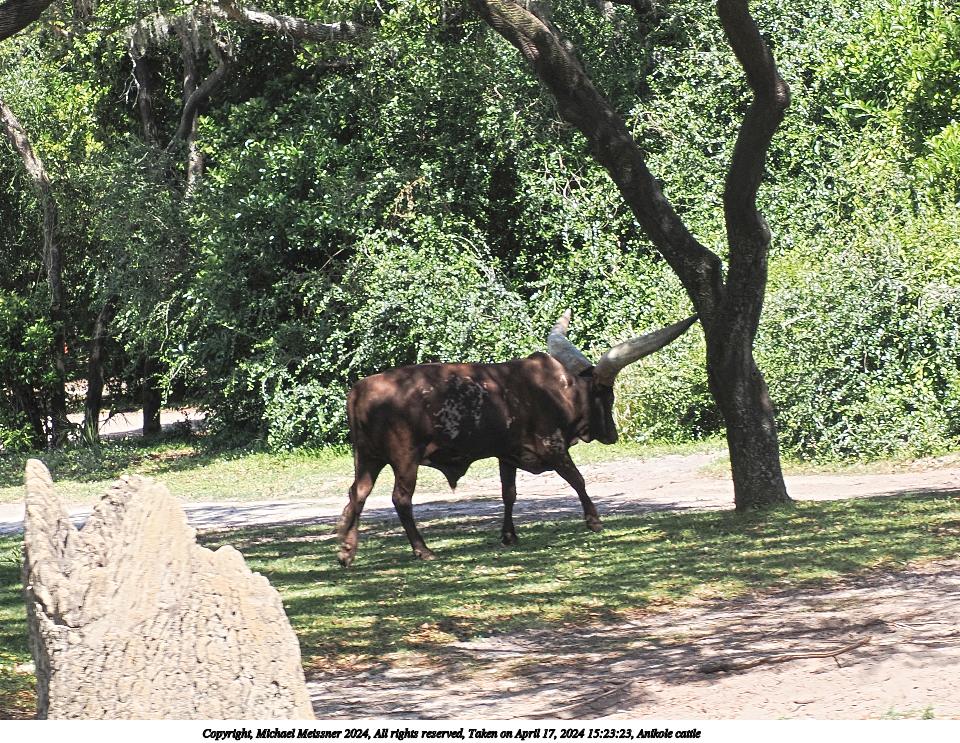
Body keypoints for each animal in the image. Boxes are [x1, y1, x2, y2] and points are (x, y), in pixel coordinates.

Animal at [336, 311, 698, 566]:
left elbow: (509, 493)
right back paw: (422, 550)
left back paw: (346, 551)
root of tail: (359, 389)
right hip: (404, 458)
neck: (560, 389)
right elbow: (577, 479)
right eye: (606, 396)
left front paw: (509, 535)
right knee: (400, 499)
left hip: (367, 457)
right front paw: (594, 520)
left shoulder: (507, 454)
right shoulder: (553, 446)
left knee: (358, 493)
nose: (612, 434)